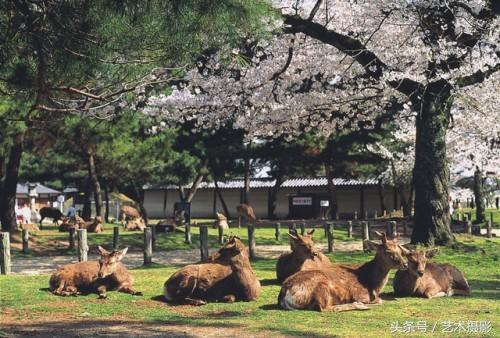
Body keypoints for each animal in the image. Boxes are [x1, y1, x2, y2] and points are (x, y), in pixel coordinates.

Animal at [278, 232, 410, 312]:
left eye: (400, 250)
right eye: (388, 251)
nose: (405, 264)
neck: (373, 285)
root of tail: (284, 294)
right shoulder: (360, 293)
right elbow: (379, 300)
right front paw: (363, 303)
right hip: (322, 287)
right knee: (324, 308)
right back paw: (359, 306)